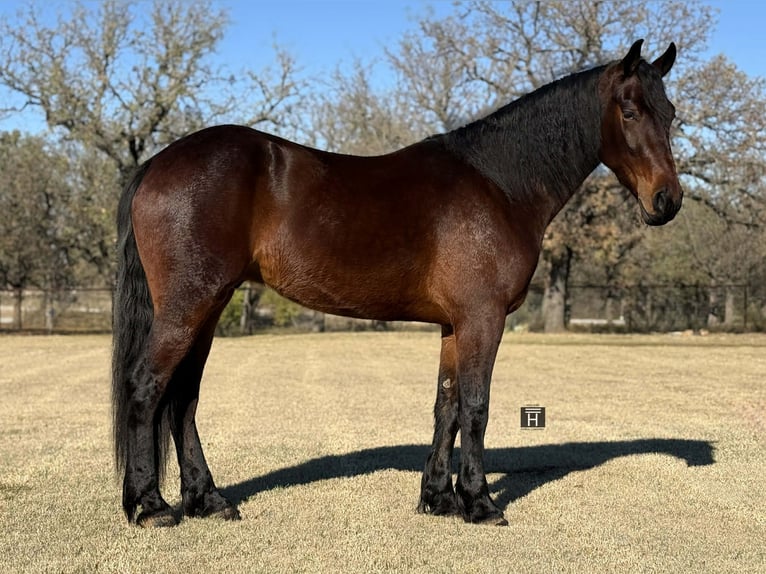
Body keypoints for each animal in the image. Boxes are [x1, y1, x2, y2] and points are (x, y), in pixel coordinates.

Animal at [112, 39, 682, 527]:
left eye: (671, 113)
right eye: (630, 111)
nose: (668, 201)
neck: (499, 184)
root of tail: (157, 165)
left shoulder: (455, 325)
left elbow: (446, 405)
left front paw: (439, 499)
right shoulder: (483, 318)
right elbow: (476, 406)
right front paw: (480, 503)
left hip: (207, 308)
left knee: (183, 398)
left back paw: (208, 500)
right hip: (189, 305)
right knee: (146, 386)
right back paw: (151, 506)